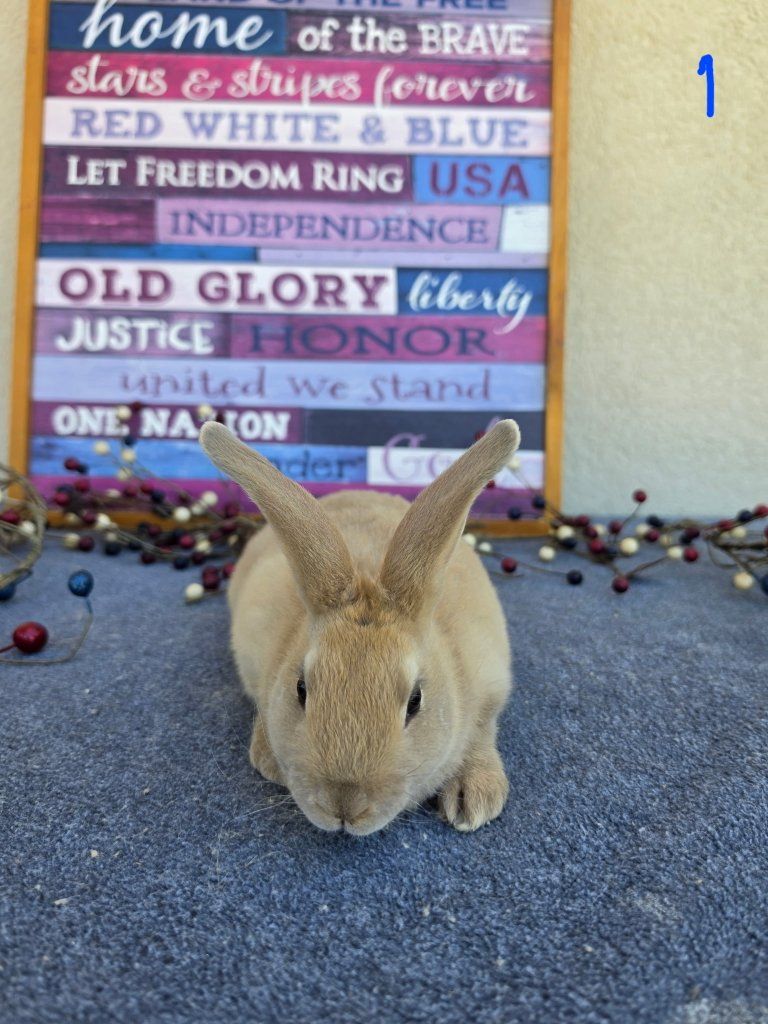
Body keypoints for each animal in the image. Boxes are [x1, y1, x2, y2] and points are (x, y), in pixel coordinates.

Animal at [199, 418, 520, 836]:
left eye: (415, 701)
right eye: (301, 689)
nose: (344, 808)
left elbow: (483, 730)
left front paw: (475, 798)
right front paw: (268, 759)